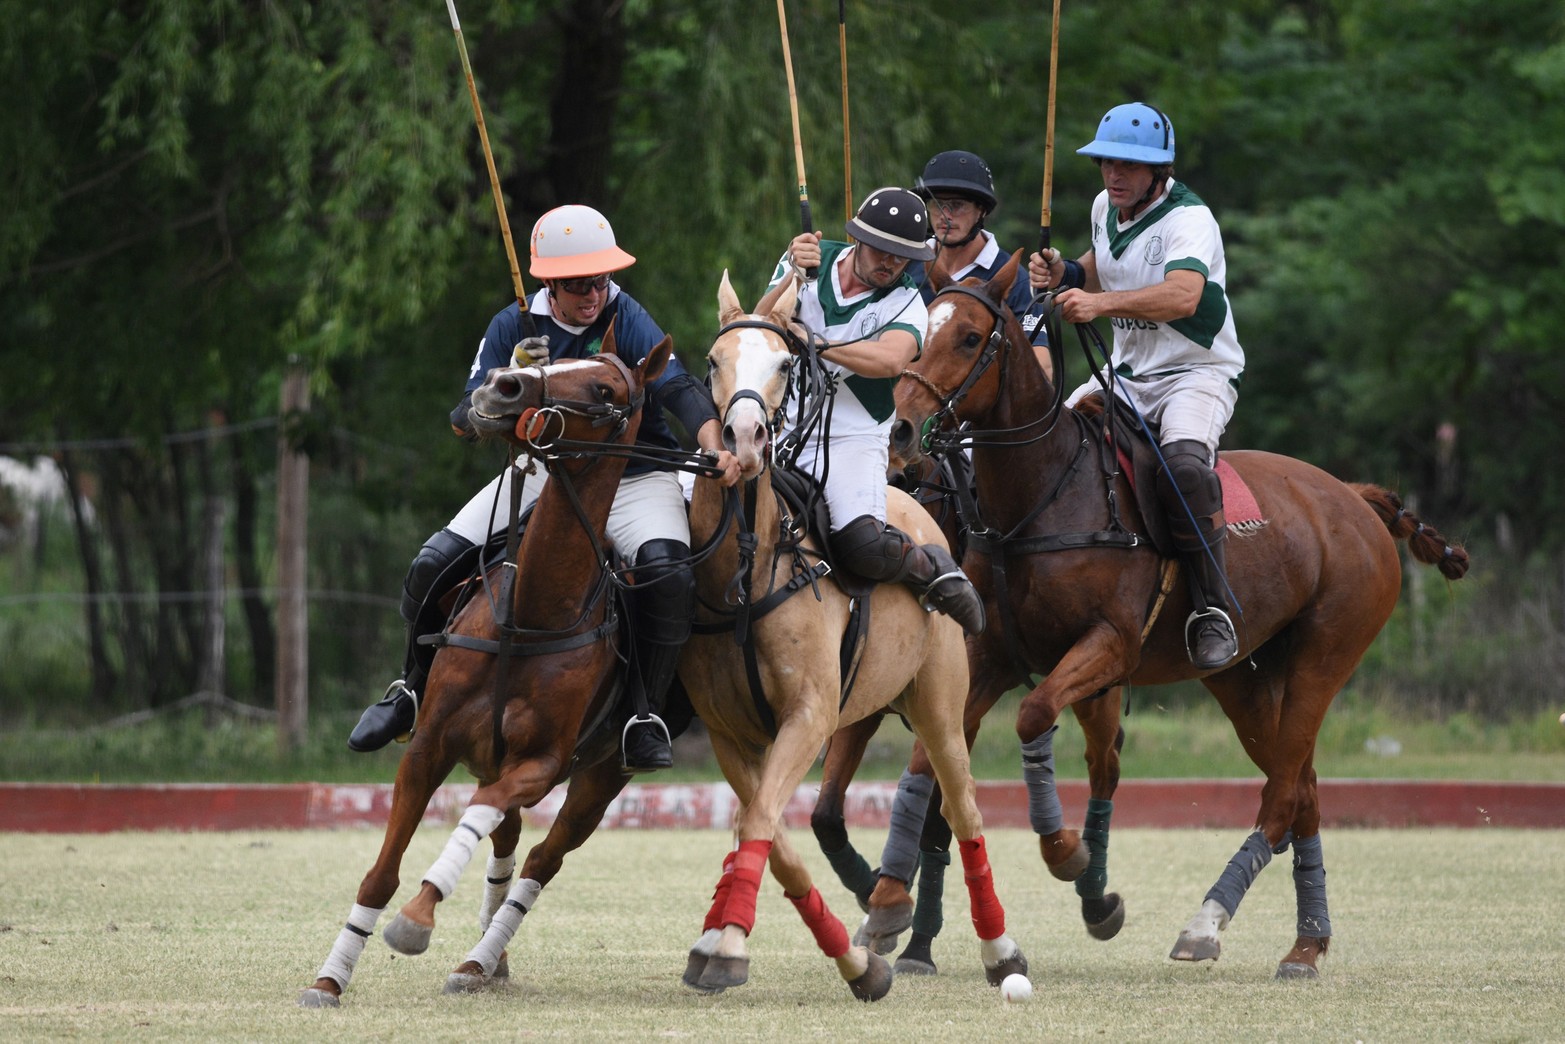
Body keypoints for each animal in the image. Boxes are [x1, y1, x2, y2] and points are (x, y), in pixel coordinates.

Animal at [298, 333, 672, 1001]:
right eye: (551, 362)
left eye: (606, 389)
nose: (502, 386)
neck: (530, 613)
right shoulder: (430, 745)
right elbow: (381, 872)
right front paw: (330, 979)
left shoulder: (540, 763)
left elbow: (479, 815)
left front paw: (417, 921)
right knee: (509, 840)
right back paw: (484, 962)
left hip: (602, 775)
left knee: (540, 858)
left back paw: (480, 956)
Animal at [672, 273, 1026, 1001]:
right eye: (714, 361)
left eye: (786, 364)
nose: (744, 439)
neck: (749, 570)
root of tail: (915, 500)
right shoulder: (729, 733)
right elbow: (764, 829)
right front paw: (733, 944)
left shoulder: (809, 714)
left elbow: (760, 821)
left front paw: (729, 944)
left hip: (941, 704)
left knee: (966, 812)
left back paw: (1001, 950)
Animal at [895, 250, 1464, 982]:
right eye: (920, 331)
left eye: (969, 338)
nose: (901, 430)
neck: (1042, 492)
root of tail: (1354, 497)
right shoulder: (990, 654)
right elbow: (932, 755)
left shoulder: (1109, 644)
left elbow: (1033, 713)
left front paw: (1065, 852)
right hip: (1244, 676)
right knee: (1301, 785)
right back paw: (1306, 945)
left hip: (1327, 649)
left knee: (1283, 793)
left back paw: (1206, 923)